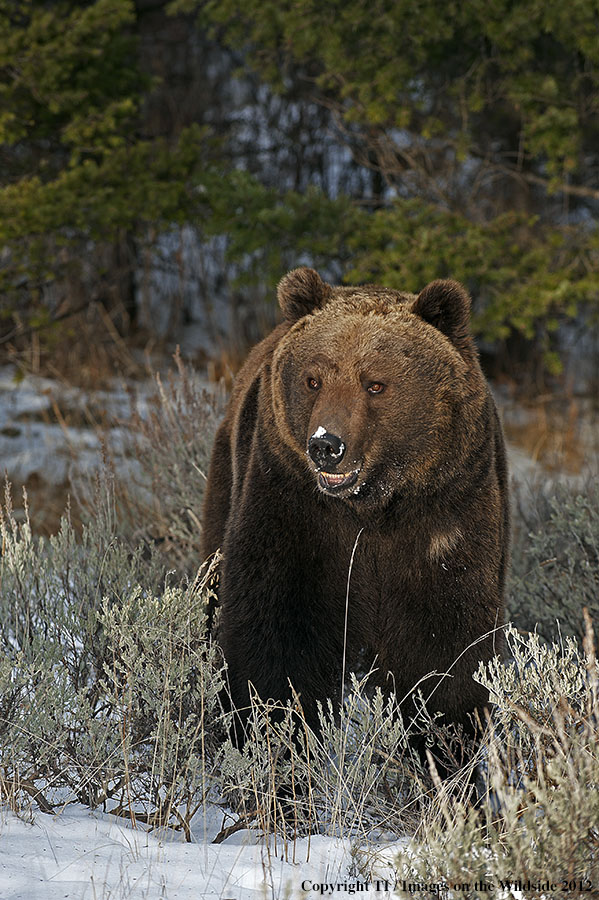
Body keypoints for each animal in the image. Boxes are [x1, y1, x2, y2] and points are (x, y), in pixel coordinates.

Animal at [203, 268, 510, 744]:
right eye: (313, 379)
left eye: (375, 383)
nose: (326, 445)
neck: (372, 507)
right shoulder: (293, 507)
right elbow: (277, 627)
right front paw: (271, 730)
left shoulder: (446, 513)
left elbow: (444, 641)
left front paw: (443, 740)